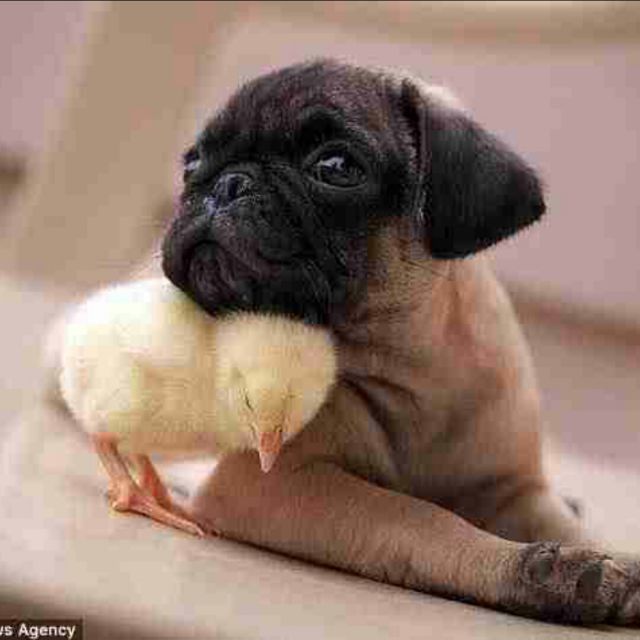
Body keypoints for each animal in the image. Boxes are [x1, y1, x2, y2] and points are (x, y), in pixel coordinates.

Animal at [162, 59, 640, 625]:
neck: (410, 364)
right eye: (192, 165)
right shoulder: (271, 480)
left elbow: (570, 529)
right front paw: (542, 571)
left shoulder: (514, 490)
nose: (227, 182)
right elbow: (421, 518)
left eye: (336, 167)